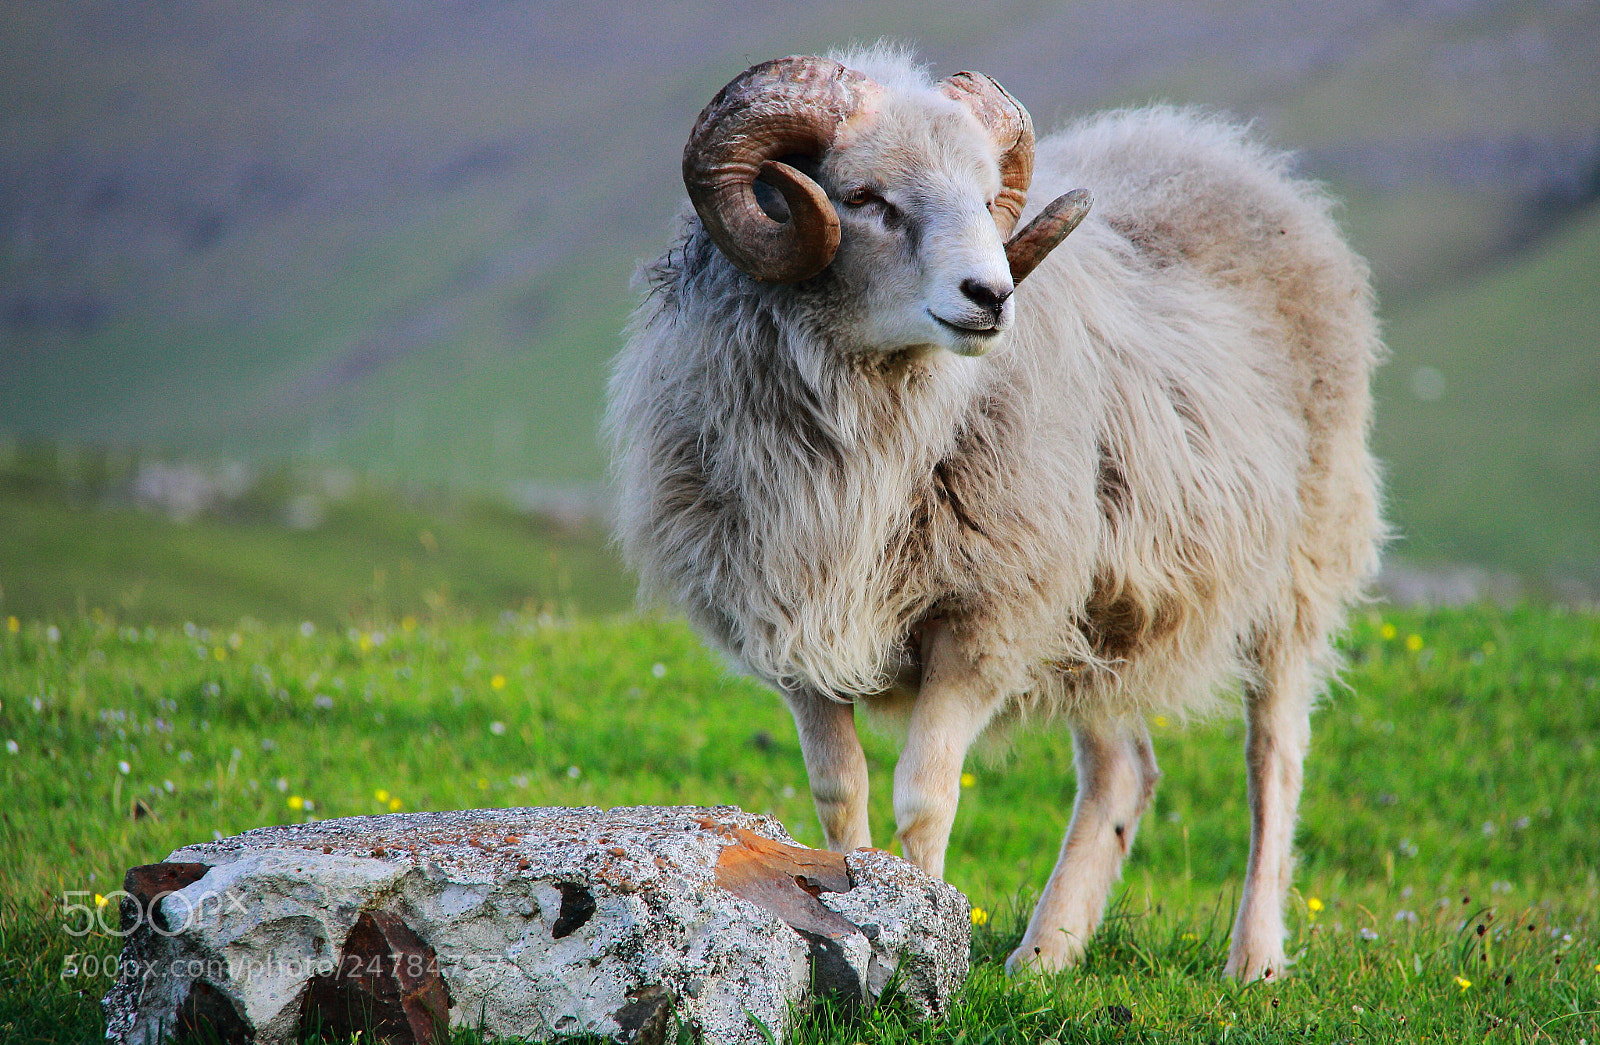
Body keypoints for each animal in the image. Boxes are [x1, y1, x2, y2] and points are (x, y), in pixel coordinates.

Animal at [606, 45, 1384, 982]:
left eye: (985, 199)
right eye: (864, 197)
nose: (991, 294)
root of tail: (1225, 153)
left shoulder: (982, 622)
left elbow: (924, 793)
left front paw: (917, 936)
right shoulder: (794, 635)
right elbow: (839, 790)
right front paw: (855, 907)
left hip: (1294, 567)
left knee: (1275, 759)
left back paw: (1255, 956)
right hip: (1097, 603)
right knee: (1124, 772)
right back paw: (1046, 953)